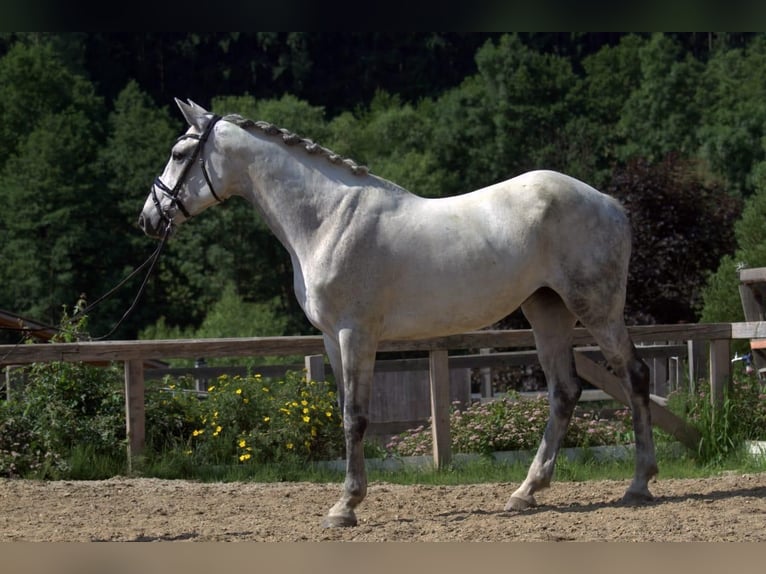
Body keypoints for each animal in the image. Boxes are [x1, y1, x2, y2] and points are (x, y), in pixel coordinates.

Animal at [139, 99, 657, 527]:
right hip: (546, 310)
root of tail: (608, 203)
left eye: (180, 154)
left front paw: (345, 507)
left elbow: (355, 416)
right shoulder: (331, 338)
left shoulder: (356, 334)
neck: (328, 218)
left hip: (596, 308)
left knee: (633, 374)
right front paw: (348, 500)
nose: (149, 218)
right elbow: (344, 412)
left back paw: (638, 485)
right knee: (564, 392)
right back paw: (526, 492)